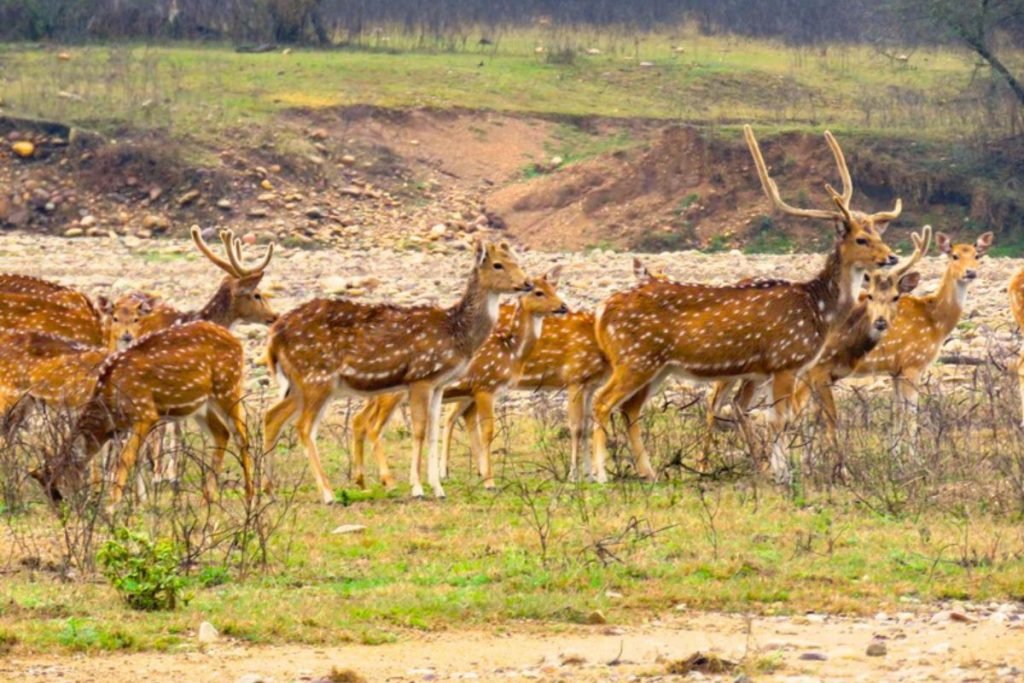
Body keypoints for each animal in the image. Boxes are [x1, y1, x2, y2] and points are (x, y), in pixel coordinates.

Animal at [33, 321, 253, 512]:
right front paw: (139, 503)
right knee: (222, 434)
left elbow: (125, 458)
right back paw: (206, 500)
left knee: (241, 435)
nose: (63, 511)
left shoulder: (145, 412)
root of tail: (236, 341)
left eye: (61, 482)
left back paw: (250, 496)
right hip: (201, 406)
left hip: (228, 385)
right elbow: (136, 457)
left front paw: (112, 506)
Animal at [263, 240, 532, 503]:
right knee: (304, 426)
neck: (457, 334)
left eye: (516, 261)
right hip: (317, 377)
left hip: (301, 383)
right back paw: (328, 494)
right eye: (498, 264)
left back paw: (270, 491)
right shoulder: (421, 376)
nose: (527, 283)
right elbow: (419, 430)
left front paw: (438, 488)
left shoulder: (439, 384)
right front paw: (418, 488)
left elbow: (433, 431)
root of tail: (273, 338)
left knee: (272, 416)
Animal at [350, 268, 567, 490]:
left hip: (375, 393)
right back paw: (388, 481)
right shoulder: (484, 386)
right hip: (392, 394)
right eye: (539, 292)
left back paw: (361, 480)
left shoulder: (469, 394)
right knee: (374, 427)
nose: (563, 306)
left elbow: (473, 429)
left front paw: (481, 475)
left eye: (554, 288)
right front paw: (490, 481)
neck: (511, 352)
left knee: (358, 420)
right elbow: (487, 431)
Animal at [589, 125, 900, 484]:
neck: (818, 311)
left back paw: (649, 472)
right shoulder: (784, 360)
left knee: (630, 408)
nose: (892, 256)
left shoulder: (767, 371)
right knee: (601, 401)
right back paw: (598, 474)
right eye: (861, 239)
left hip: (656, 366)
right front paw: (783, 475)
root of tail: (601, 312)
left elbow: (770, 416)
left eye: (879, 235)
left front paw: (776, 470)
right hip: (635, 358)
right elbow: (779, 419)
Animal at [849, 230, 994, 432]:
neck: (936, 324)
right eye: (954, 255)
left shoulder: (895, 369)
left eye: (977, 256)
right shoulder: (913, 362)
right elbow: (911, 418)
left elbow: (897, 414)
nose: (971, 272)